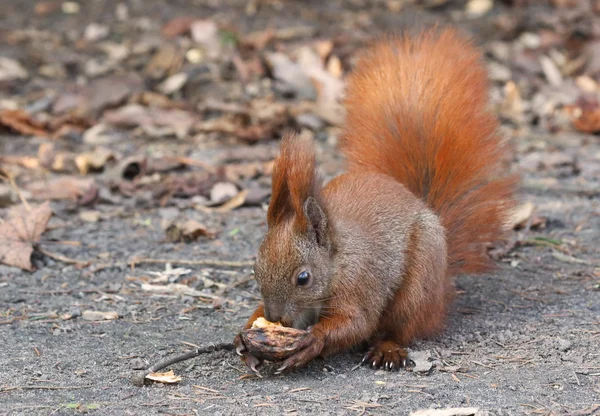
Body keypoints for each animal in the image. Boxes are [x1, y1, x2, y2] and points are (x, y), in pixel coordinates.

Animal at [234, 25, 516, 374]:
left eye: (303, 278)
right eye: (255, 269)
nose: (275, 317)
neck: (337, 259)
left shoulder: (358, 282)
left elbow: (356, 322)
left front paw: (309, 343)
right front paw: (245, 335)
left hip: (417, 285)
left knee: (400, 327)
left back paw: (388, 349)